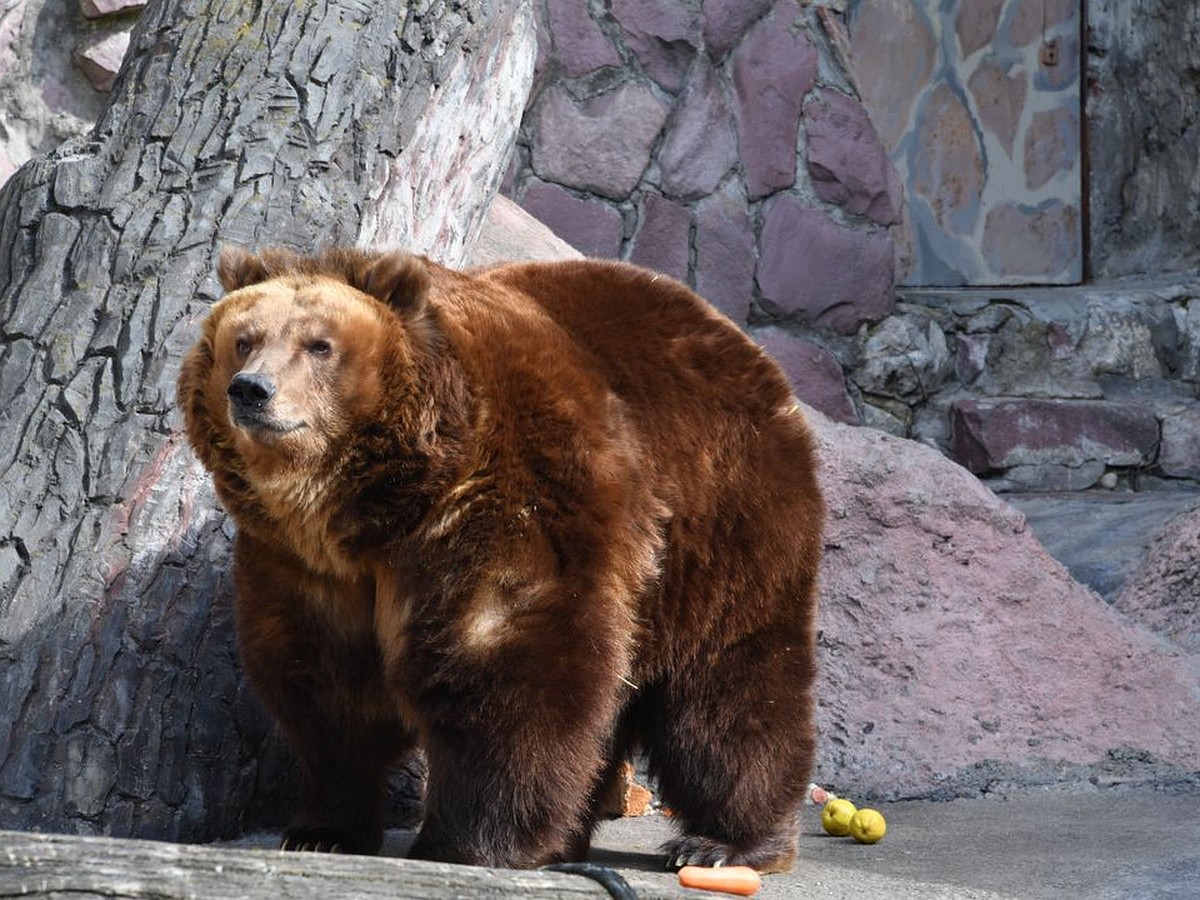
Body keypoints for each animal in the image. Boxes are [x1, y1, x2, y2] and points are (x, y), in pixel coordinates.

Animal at [180, 244, 825, 873]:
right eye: (245, 339)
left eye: (320, 345)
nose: (251, 389)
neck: (374, 506)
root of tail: (737, 341)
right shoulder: (304, 564)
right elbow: (326, 687)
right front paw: (322, 831)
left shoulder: (501, 500)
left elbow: (505, 663)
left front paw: (468, 845)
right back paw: (574, 840)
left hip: (720, 515)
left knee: (725, 684)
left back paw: (725, 842)